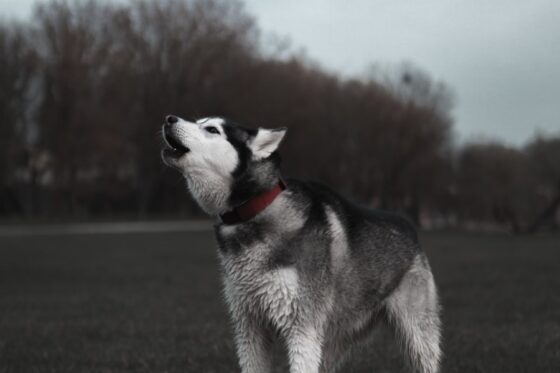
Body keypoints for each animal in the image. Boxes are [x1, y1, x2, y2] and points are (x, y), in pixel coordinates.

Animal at [161, 115, 442, 370]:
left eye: (212, 129)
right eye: (198, 120)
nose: (169, 118)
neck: (255, 210)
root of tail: (406, 222)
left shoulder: (302, 327)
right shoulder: (249, 326)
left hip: (417, 336)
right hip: (333, 339)